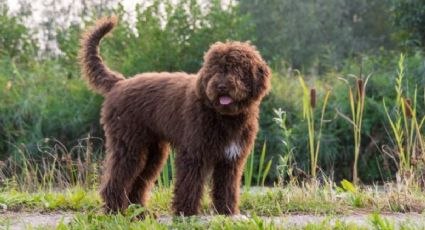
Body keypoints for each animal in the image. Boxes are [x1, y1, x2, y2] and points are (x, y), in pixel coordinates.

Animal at [79, 16, 270, 216]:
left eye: (236, 69)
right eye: (215, 69)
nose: (221, 86)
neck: (222, 116)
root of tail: (119, 83)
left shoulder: (230, 158)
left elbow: (226, 187)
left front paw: (226, 211)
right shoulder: (194, 153)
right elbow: (189, 183)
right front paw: (186, 212)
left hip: (152, 151)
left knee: (138, 182)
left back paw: (140, 213)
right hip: (129, 145)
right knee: (117, 179)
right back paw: (114, 211)